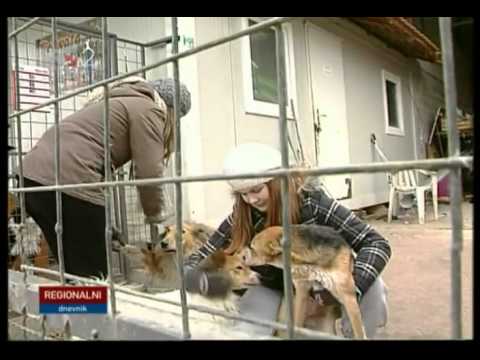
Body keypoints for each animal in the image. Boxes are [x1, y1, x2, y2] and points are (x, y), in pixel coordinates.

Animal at [240, 224, 368, 338]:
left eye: (252, 248)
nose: (241, 257)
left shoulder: (347, 295)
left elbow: (359, 331)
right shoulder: (302, 290)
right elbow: (297, 322)